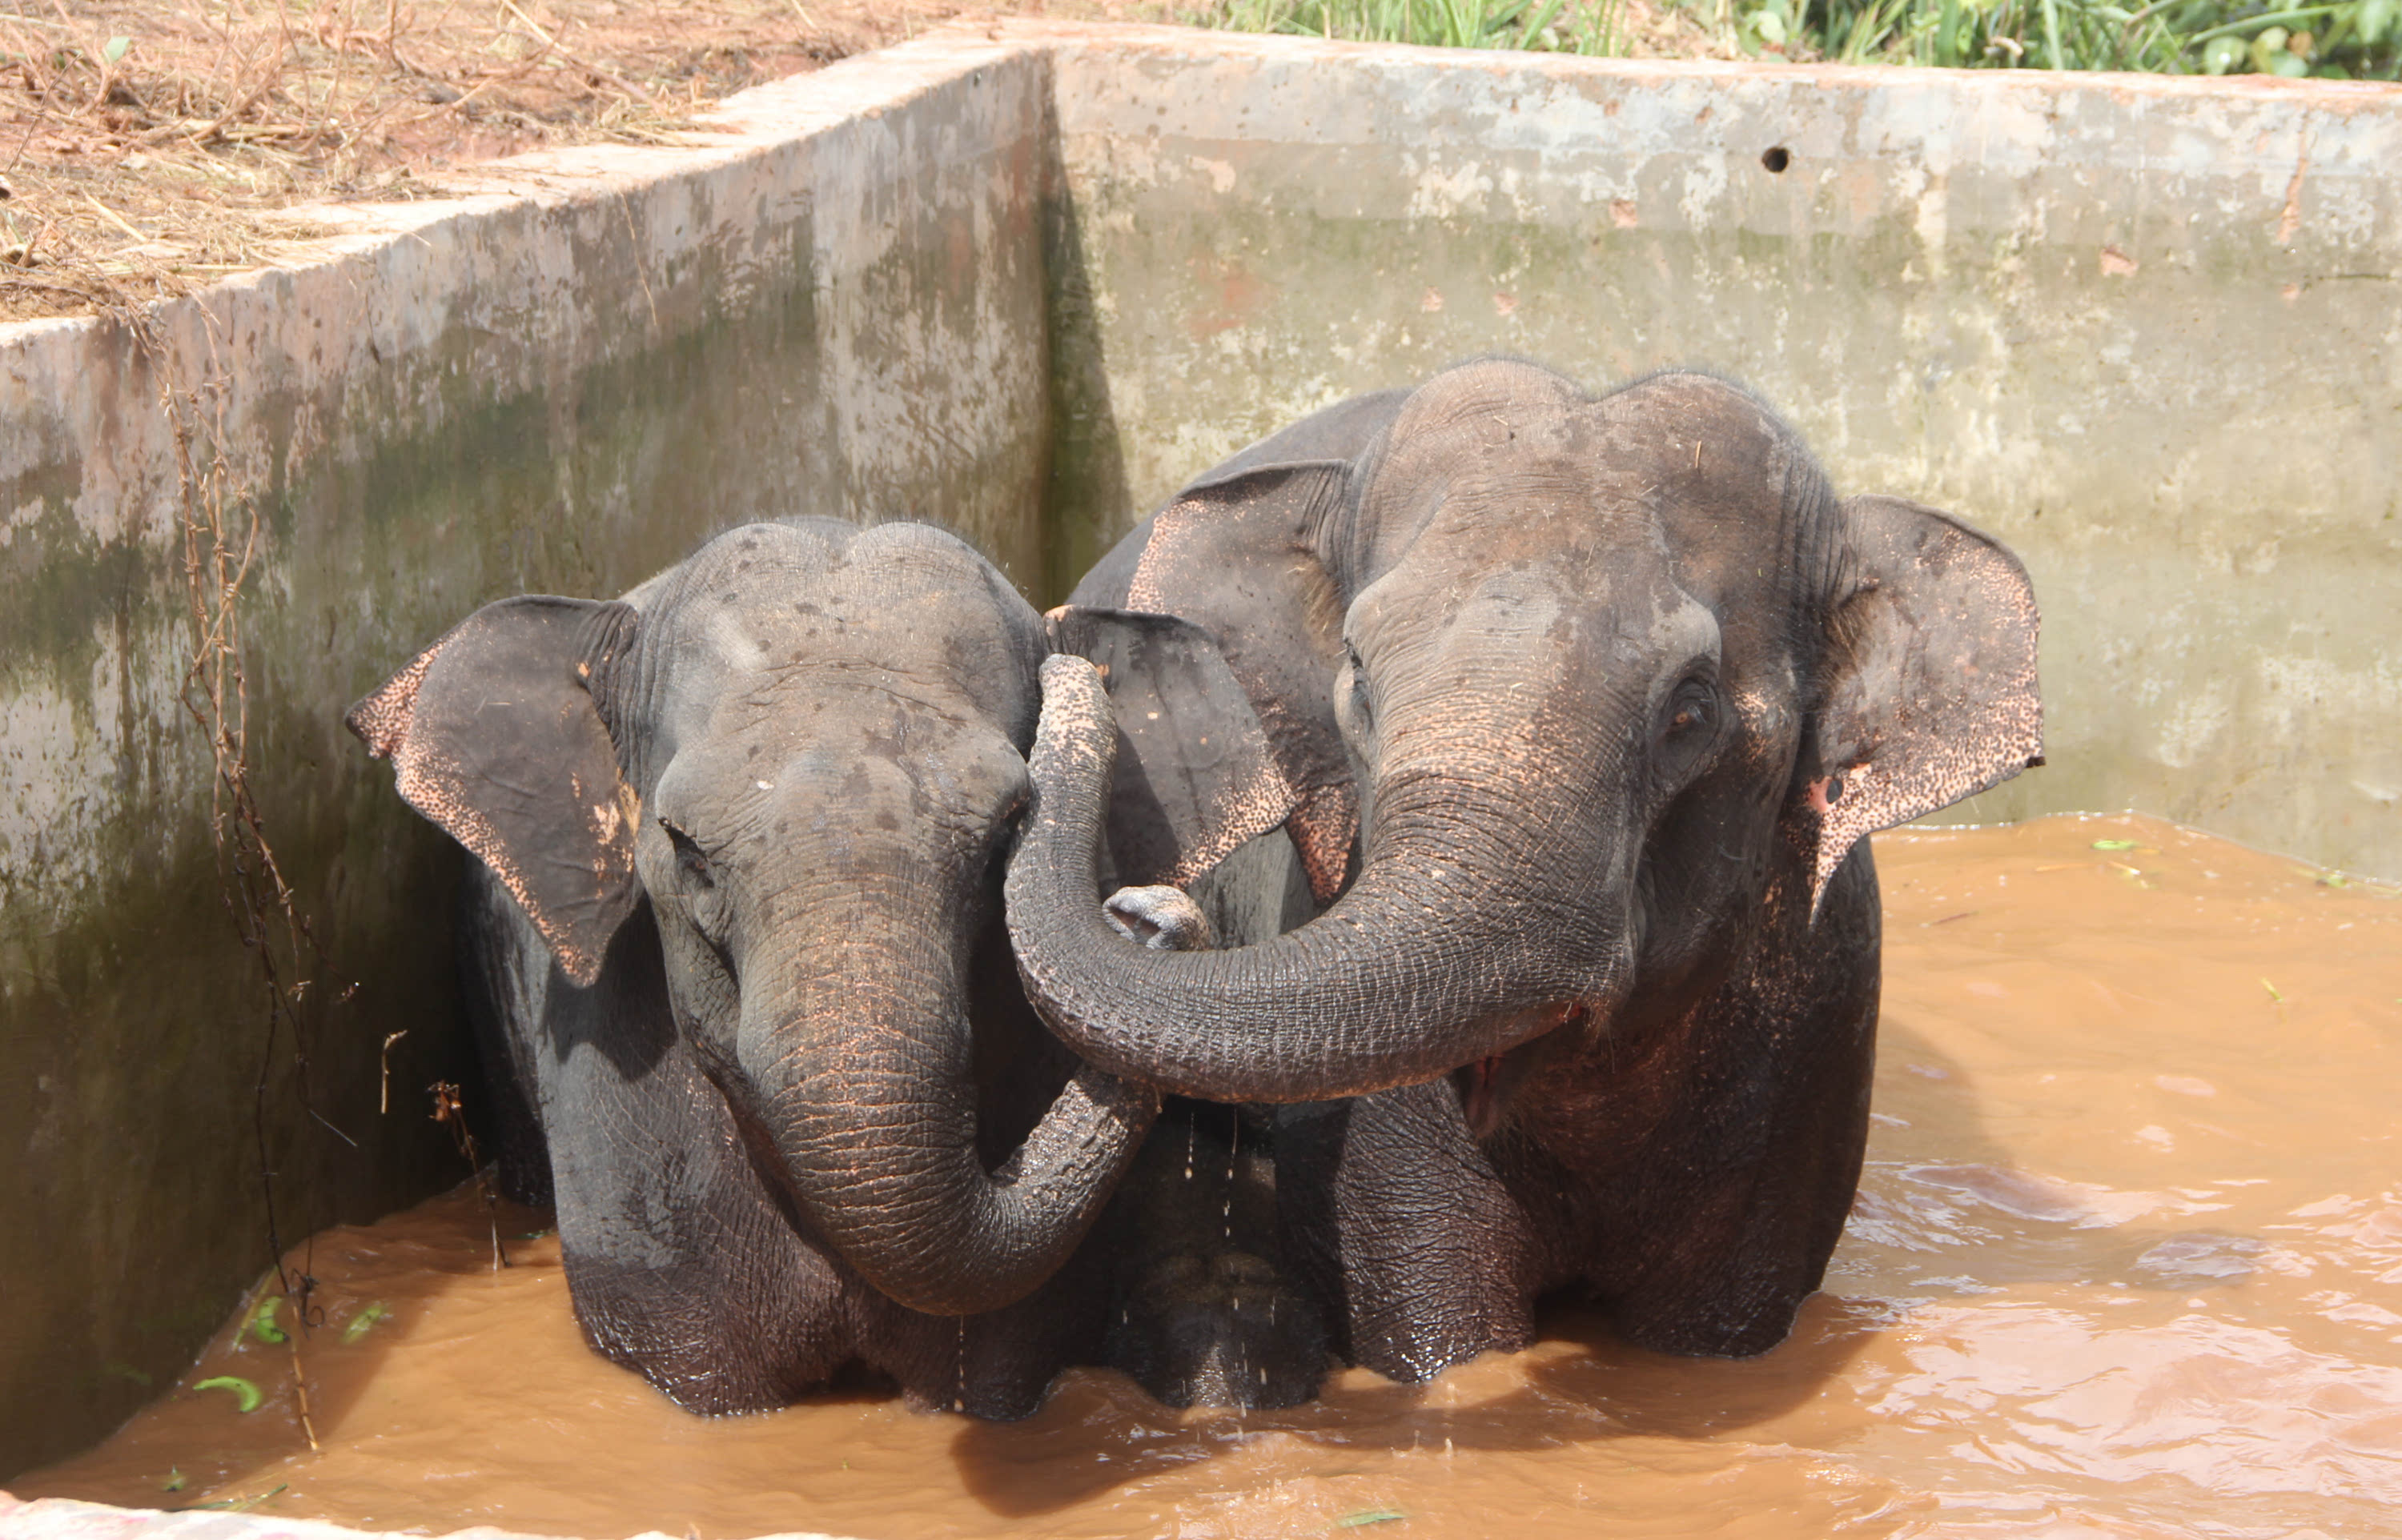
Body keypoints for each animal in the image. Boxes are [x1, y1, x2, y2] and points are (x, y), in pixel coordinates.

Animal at [1004, 360, 2037, 1383]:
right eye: (1359, 678)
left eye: (1691, 710)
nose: (1148, 912)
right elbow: (1435, 1306)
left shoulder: (1814, 1041)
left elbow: (1724, 1325)